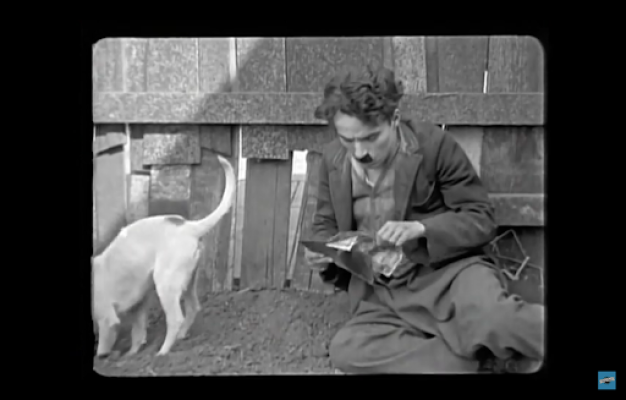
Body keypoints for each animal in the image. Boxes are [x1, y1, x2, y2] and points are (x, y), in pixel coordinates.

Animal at [92, 155, 236, 358]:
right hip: (188, 281)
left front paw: (106, 356)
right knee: (193, 308)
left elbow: (104, 346)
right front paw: (132, 354)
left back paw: (162, 352)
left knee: (175, 319)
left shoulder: (107, 319)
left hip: (165, 284)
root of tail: (189, 226)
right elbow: (138, 333)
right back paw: (181, 336)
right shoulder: (139, 305)